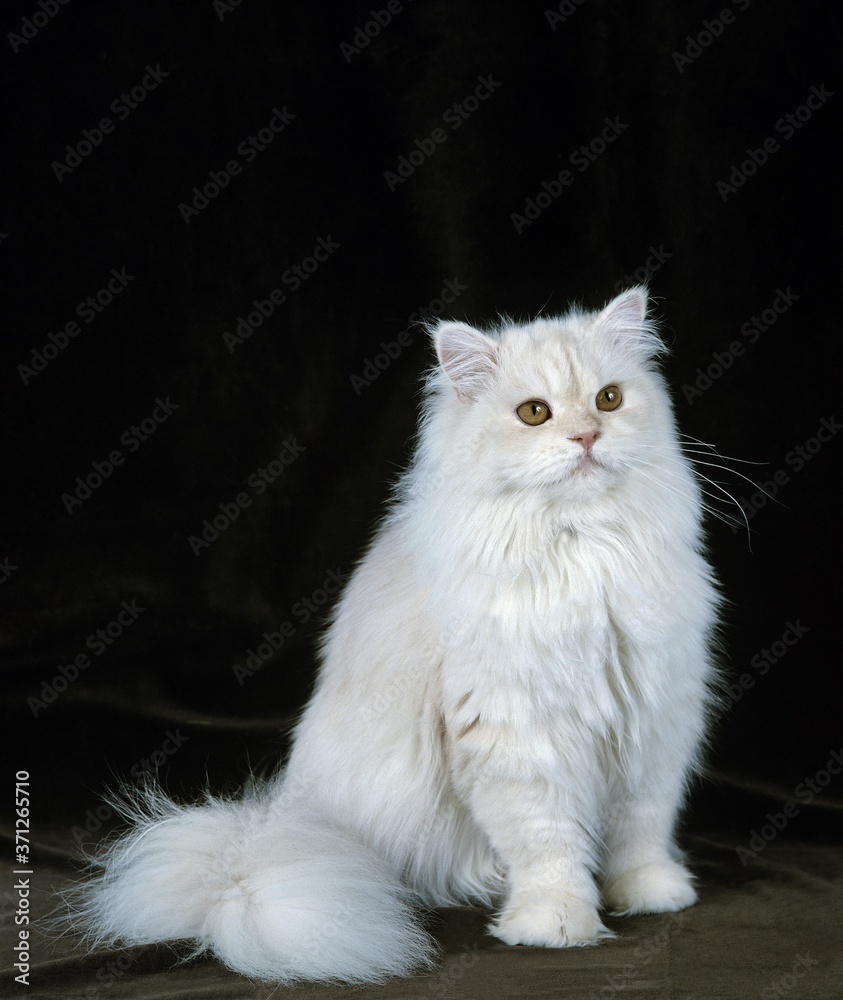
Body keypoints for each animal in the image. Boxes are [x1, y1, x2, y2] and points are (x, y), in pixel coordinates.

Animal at [69, 288, 724, 984]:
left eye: (608, 399)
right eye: (534, 413)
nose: (587, 435)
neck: (585, 551)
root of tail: (264, 834)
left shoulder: (654, 719)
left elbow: (641, 829)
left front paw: (652, 893)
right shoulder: (519, 736)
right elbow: (548, 844)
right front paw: (556, 922)